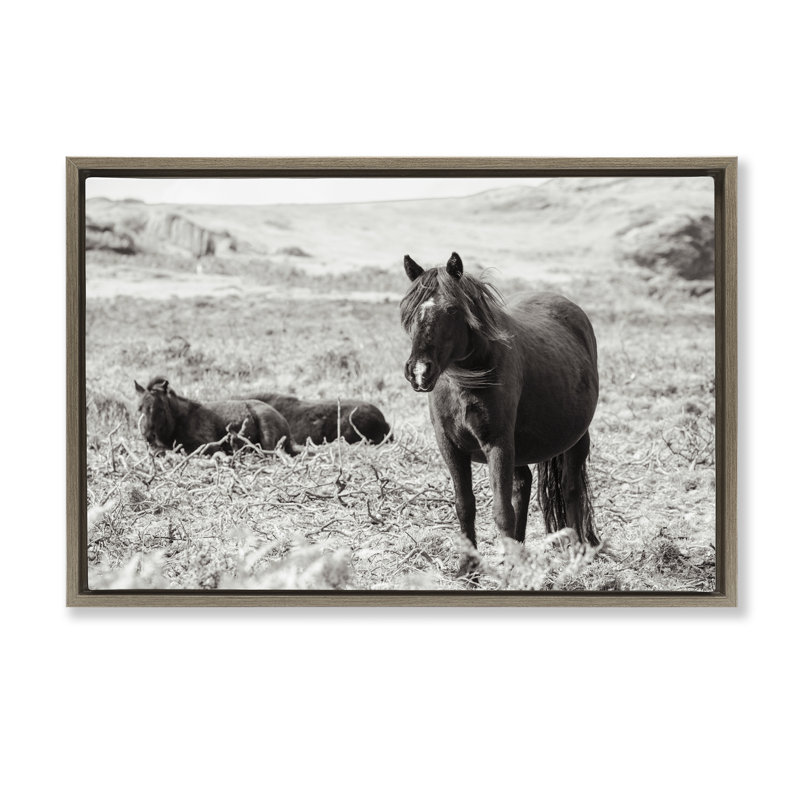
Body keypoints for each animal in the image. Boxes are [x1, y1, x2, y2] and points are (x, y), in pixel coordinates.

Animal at [135, 378, 298, 456]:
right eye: (140, 408)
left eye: (160, 409)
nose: (148, 436)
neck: (181, 420)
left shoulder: (209, 446)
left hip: (266, 434)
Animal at [400, 252, 599, 577]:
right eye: (409, 311)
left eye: (452, 309)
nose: (419, 371)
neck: (466, 382)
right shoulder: (450, 447)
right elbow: (465, 505)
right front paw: (468, 569)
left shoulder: (498, 444)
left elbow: (501, 509)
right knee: (523, 483)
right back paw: (516, 553)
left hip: (577, 439)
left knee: (571, 489)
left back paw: (576, 551)